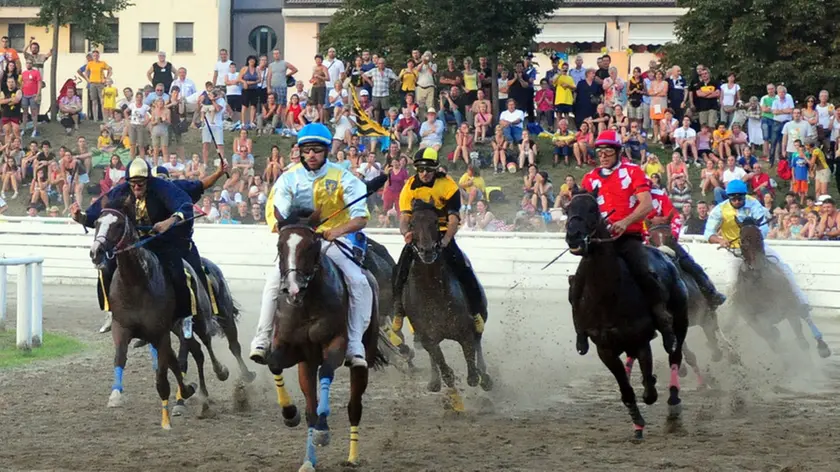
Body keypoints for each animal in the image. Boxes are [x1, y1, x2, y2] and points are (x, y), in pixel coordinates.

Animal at [88, 199, 210, 428]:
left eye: (118, 225)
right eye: (97, 223)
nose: (95, 252)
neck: (136, 283)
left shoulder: (159, 334)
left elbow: (162, 377)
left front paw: (166, 420)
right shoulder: (122, 328)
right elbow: (120, 358)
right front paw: (115, 395)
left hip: (197, 321)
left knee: (203, 349)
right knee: (184, 356)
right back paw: (188, 392)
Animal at [266, 208, 384, 470]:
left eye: (311, 245)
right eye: (279, 245)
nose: (292, 289)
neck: (307, 305)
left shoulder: (336, 343)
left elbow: (327, 372)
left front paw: (323, 430)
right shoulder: (295, 352)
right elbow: (274, 365)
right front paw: (290, 413)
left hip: (363, 357)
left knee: (354, 407)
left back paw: (352, 457)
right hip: (306, 364)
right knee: (311, 406)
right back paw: (309, 459)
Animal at [400, 199, 492, 410]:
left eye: (435, 222)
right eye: (412, 224)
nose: (427, 251)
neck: (432, 292)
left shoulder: (465, 331)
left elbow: (471, 363)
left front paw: (478, 377)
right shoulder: (428, 338)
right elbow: (443, 367)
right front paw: (448, 389)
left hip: (480, 315)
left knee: (478, 342)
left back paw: (485, 377)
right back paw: (434, 381)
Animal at [564, 190, 688, 440]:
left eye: (593, 209)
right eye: (568, 209)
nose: (573, 236)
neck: (607, 295)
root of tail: (667, 257)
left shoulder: (641, 342)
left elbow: (649, 389)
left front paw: (651, 387)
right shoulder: (605, 349)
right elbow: (625, 388)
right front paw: (637, 423)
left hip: (681, 323)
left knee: (674, 355)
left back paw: (673, 406)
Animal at [732, 217, 832, 358]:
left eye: (760, 238)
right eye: (743, 241)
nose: (758, 265)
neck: (760, 285)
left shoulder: (789, 309)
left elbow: (802, 341)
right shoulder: (757, 320)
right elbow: (771, 336)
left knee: (804, 316)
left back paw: (822, 346)